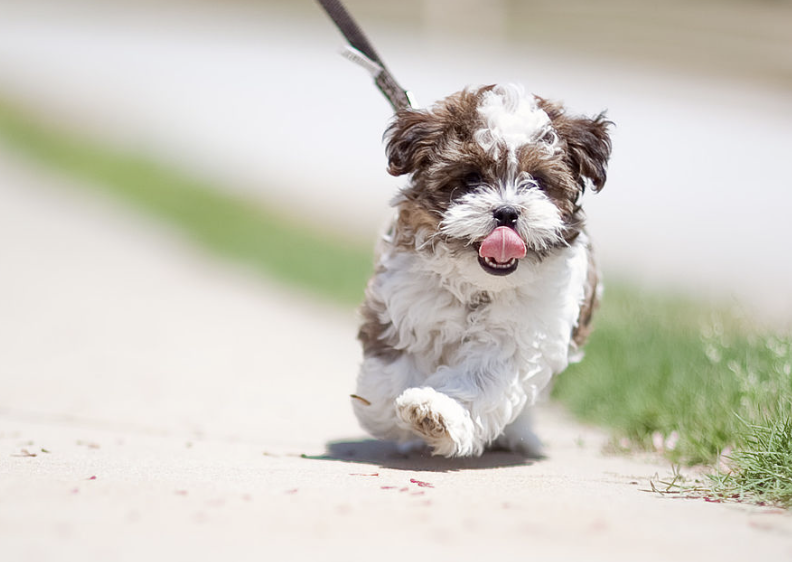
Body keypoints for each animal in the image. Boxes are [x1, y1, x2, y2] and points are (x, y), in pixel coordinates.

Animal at [352, 82, 612, 456]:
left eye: (537, 180)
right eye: (471, 178)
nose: (506, 212)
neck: (479, 286)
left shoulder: (522, 337)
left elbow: (482, 376)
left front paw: (436, 411)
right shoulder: (401, 306)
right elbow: (388, 375)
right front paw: (387, 413)